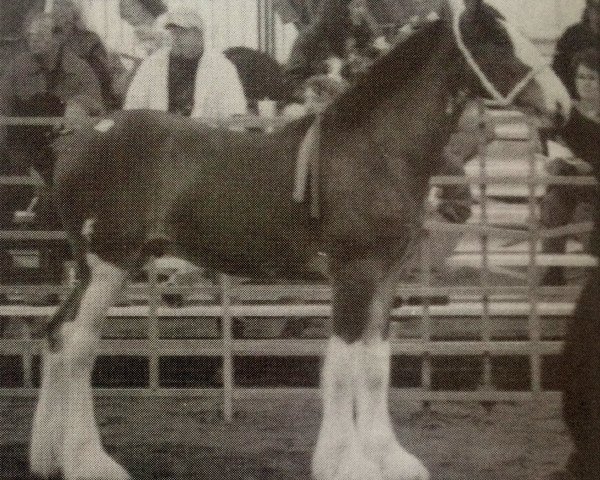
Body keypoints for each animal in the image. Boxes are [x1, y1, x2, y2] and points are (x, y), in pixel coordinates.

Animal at [29, 0, 572, 480]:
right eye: (497, 40)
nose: (564, 107)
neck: (371, 151)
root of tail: (78, 138)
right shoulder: (353, 274)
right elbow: (343, 364)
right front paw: (346, 464)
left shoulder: (387, 277)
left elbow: (375, 366)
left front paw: (392, 460)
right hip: (108, 263)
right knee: (79, 346)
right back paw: (90, 463)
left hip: (93, 268)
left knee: (56, 334)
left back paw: (48, 457)